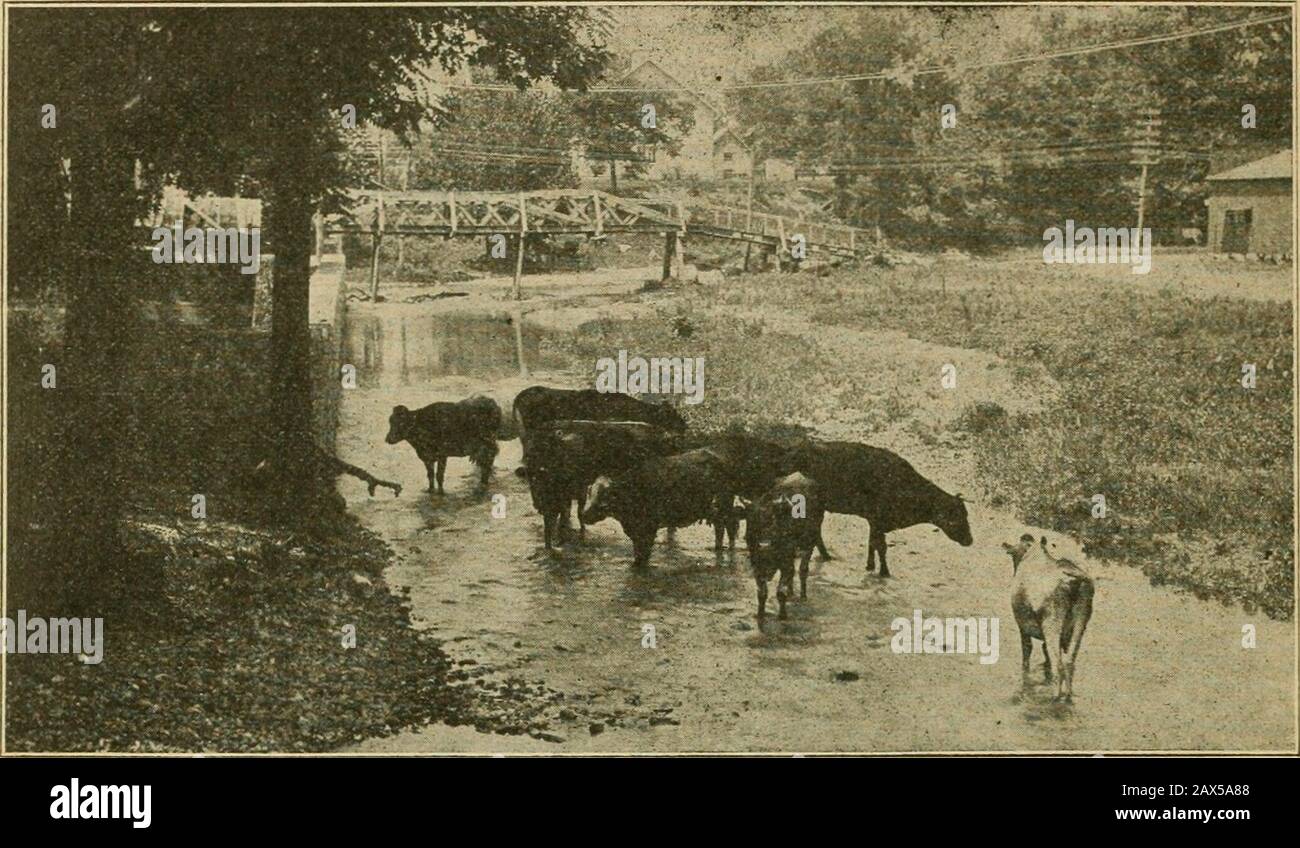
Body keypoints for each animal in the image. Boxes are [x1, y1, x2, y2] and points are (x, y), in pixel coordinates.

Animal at [582, 447, 738, 567]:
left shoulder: (649, 527)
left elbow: (644, 554)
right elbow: (637, 553)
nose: (585, 515)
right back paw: (718, 548)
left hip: (725, 505)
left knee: (728, 526)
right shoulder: (635, 529)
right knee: (720, 527)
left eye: (604, 497)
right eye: (590, 494)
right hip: (713, 510)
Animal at [743, 473, 821, 619]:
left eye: (773, 521)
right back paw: (791, 592)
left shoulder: (786, 561)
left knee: (803, 569)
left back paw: (803, 595)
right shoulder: (756, 564)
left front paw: (782, 615)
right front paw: (760, 613)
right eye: (752, 522)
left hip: (810, 541)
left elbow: (781, 591)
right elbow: (762, 592)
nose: (764, 545)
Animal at [774, 437, 972, 577]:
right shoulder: (878, 520)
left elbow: (872, 544)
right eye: (955, 517)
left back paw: (825, 555)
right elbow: (881, 546)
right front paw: (884, 571)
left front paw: (870, 565)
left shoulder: (874, 522)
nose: (970, 540)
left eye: (966, 514)